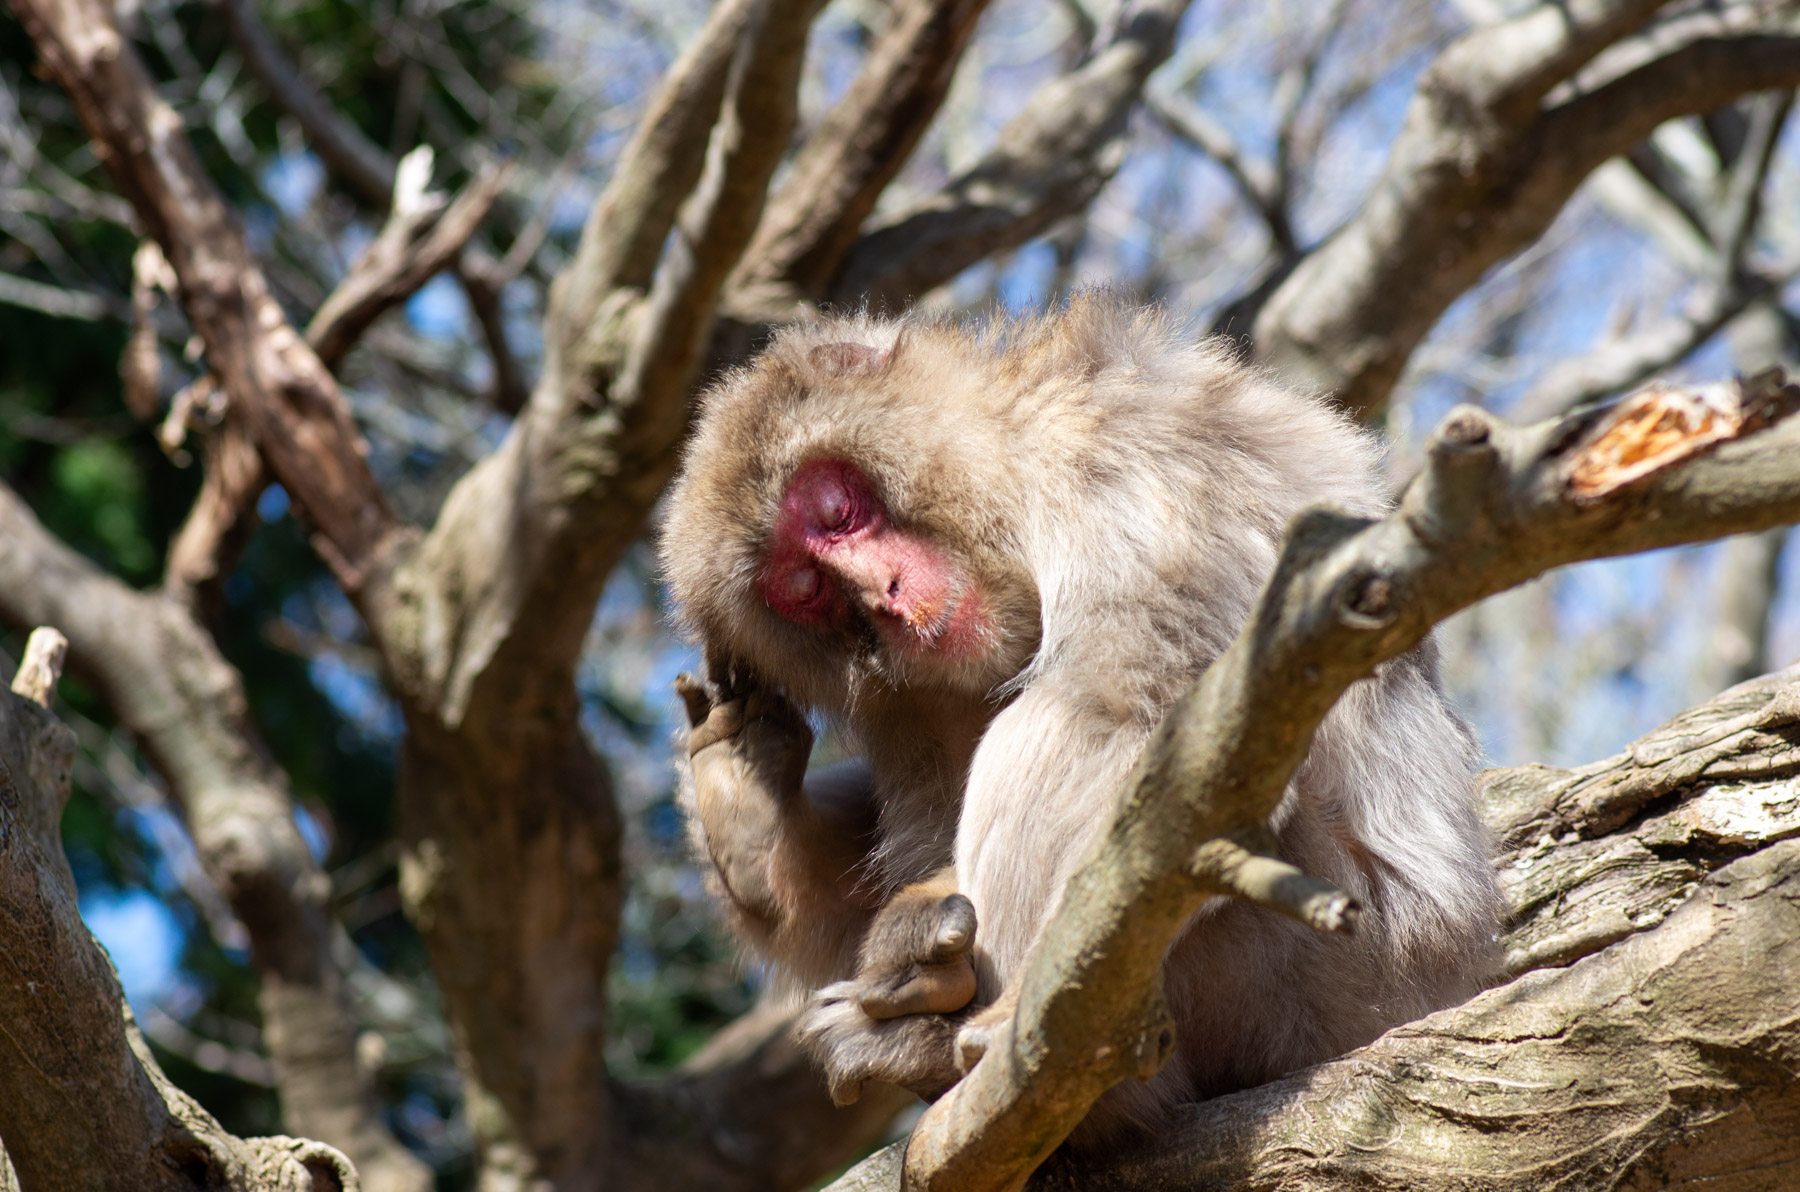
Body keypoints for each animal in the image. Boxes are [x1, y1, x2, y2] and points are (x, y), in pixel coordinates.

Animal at [660, 295, 1503, 1146]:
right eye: (807, 588)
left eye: (837, 512)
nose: (884, 593)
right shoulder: (911, 691)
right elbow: (929, 821)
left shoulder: (1130, 477)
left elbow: (1140, 716)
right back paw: (753, 827)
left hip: (1323, 978)